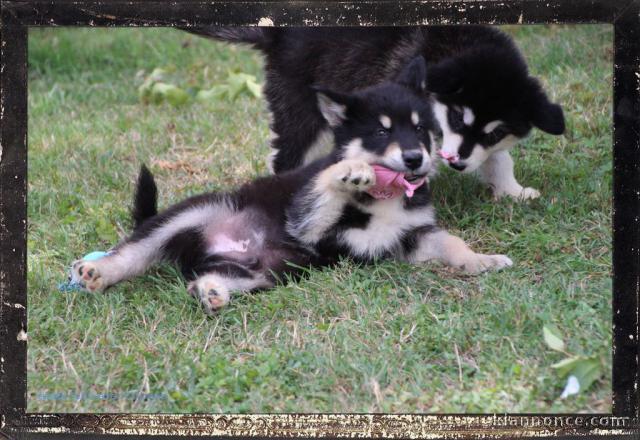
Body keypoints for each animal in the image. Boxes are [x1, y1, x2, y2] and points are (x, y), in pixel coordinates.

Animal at [69, 57, 510, 316]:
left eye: (421, 128)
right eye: (382, 133)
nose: (416, 159)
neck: (384, 199)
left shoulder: (407, 237)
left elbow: (451, 242)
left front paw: (481, 260)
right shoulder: (308, 228)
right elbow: (320, 189)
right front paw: (348, 171)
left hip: (269, 272)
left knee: (210, 278)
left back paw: (212, 291)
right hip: (192, 215)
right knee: (132, 252)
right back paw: (98, 271)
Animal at [185, 24, 564, 200]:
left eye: (496, 132)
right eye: (457, 116)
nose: (458, 164)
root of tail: (279, 32)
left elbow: (499, 157)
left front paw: (511, 190)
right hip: (300, 110)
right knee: (287, 155)